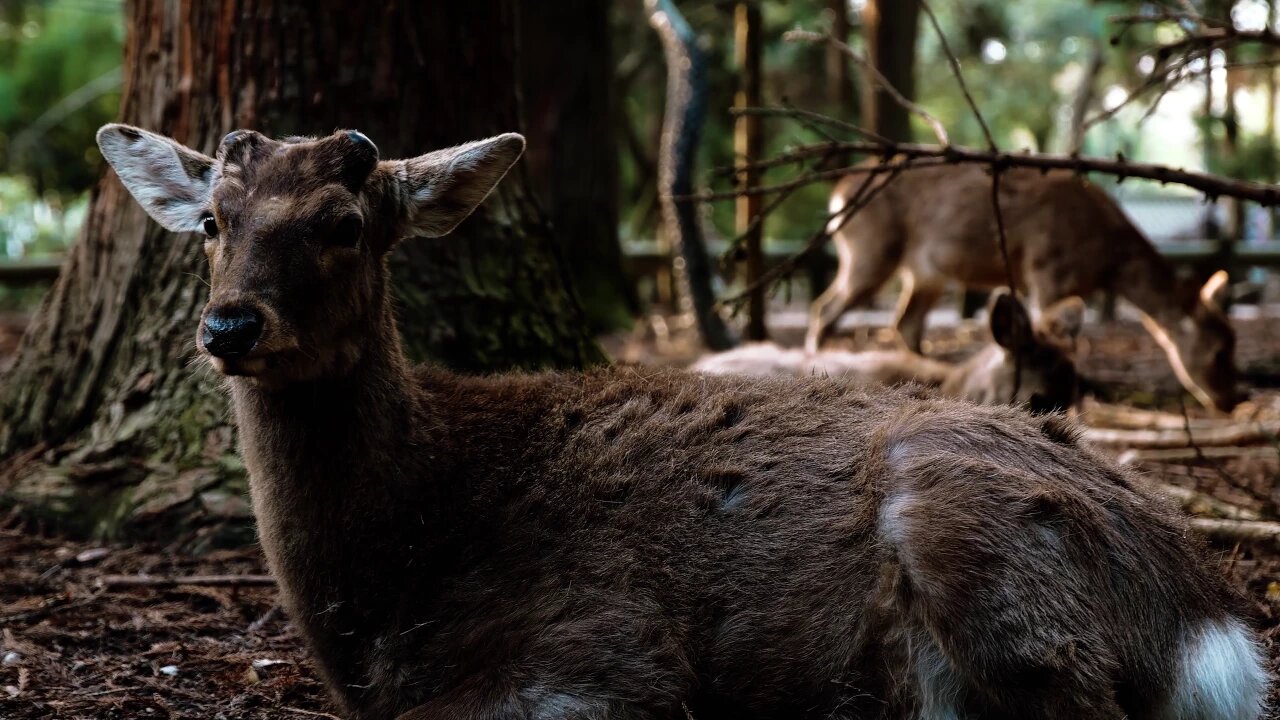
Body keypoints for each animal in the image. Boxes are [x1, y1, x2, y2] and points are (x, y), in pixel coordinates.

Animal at [808, 160, 1239, 412]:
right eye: (1218, 352)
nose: (1231, 401)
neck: (1105, 259)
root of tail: (837, 193)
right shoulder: (1047, 267)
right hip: (868, 249)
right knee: (824, 307)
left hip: (926, 271)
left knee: (905, 322)